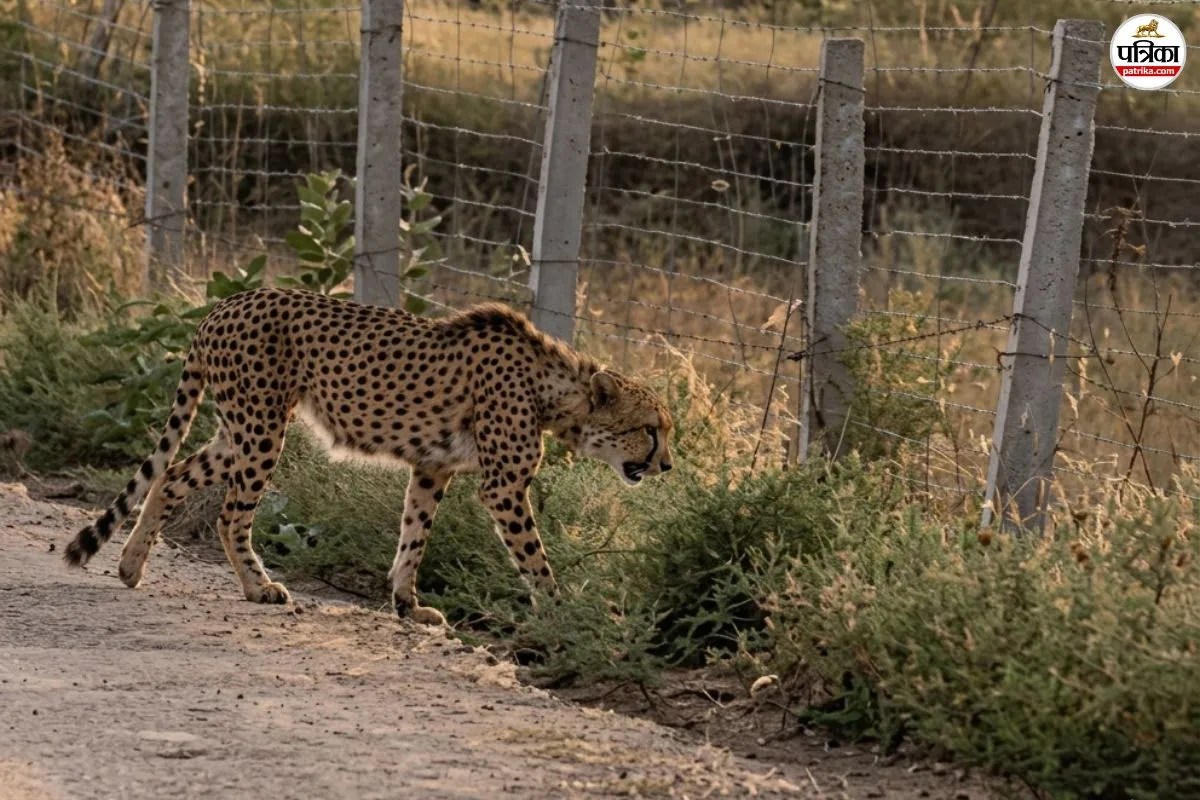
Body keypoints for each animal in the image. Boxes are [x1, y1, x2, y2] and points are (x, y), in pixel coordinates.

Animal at [63, 287, 673, 625]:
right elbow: (533, 557)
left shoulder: (432, 468)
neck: (557, 389)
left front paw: (407, 605)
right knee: (230, 513)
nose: (666, 466)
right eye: (650, 430)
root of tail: (228, 303)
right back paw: (258, 587)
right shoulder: (502, 487)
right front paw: (564, 614)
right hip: (262, 429)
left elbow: (414, 536)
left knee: (170, 475)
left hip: (239, 429)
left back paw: (130, 566)